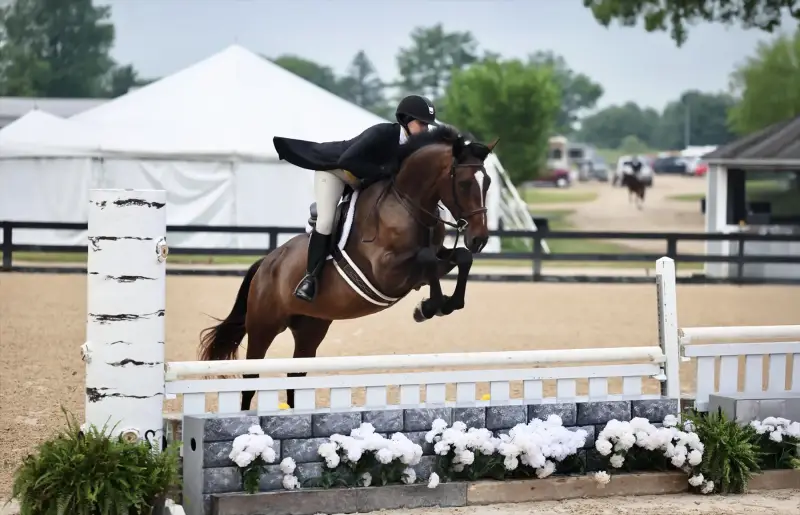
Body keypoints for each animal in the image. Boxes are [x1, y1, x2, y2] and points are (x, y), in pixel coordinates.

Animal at [198, 125, 497, 410]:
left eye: (488, 183)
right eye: (464, 183)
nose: (479, 239)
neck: (408, 203)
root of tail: (266, 263)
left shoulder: (432, 258)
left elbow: (460, 258)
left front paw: (441, 304)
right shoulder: (385, 271)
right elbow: (427, 259)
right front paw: (429, 307)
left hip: (310, 328)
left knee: (295, 375)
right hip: (263, 325)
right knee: (251, 378)